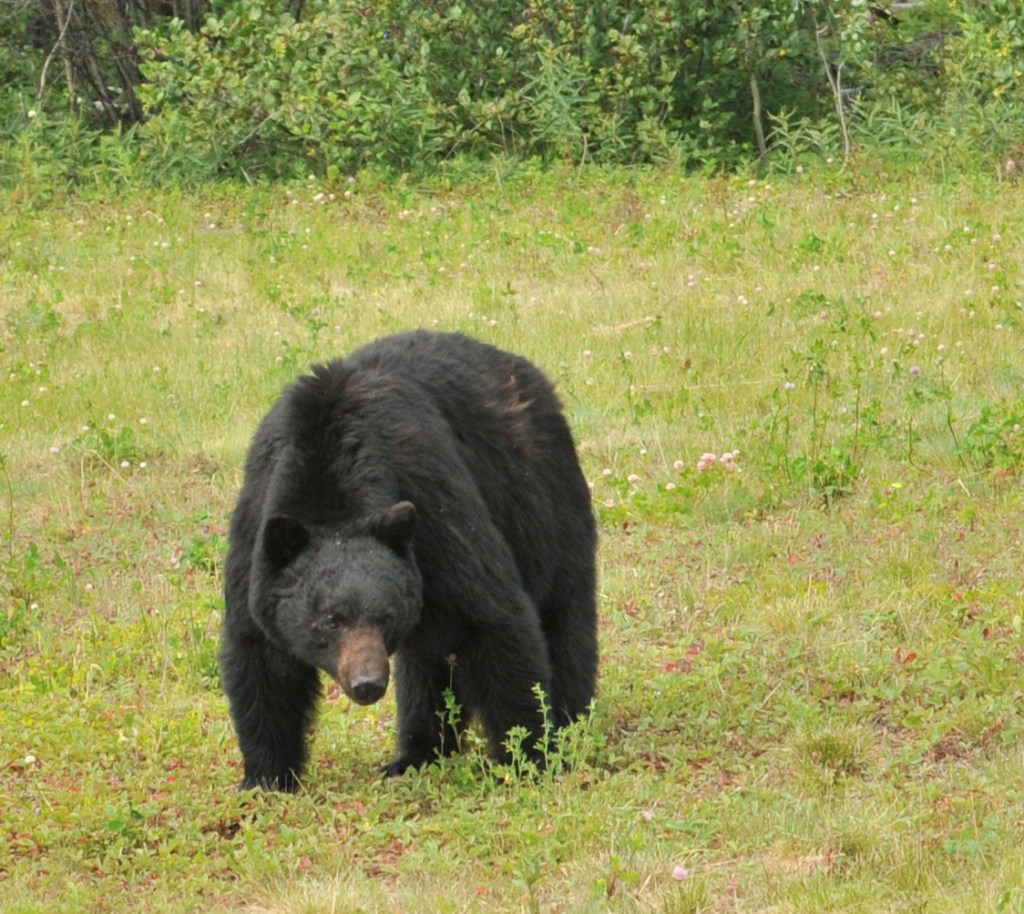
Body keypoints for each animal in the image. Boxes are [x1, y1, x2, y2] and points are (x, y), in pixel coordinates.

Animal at [220, 330, 598, 790]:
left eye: (383, 617)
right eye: (331, 620)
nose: (367, 683)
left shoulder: (433, 498)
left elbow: (493, 616)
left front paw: (528, 756)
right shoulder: (257, 526)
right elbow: (261, 656)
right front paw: (266, 777)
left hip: (549, 503)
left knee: (565, 618)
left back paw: (570, 719)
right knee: (427, 662)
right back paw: (415, 755)